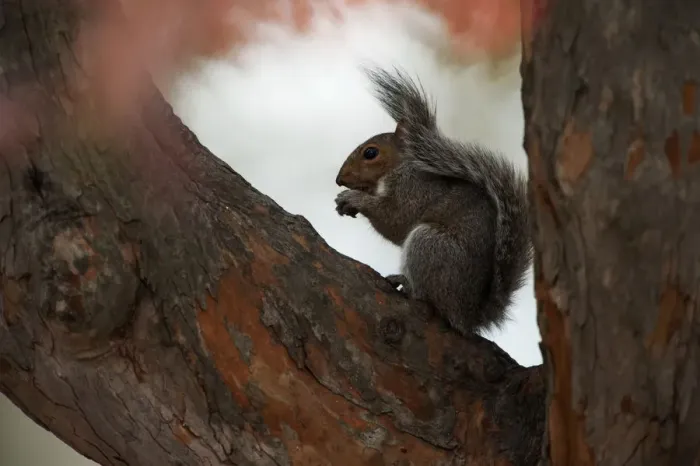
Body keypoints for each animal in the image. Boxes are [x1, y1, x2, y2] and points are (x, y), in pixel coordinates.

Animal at [334, 66, 531, 336]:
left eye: (370, 153)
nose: (339, 180)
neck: (402, 167)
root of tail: (468, 316)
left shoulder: (416, 190)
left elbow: (396, 218)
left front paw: (353, 199)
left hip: (430, 246)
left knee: (428, 299)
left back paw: (406, 284)